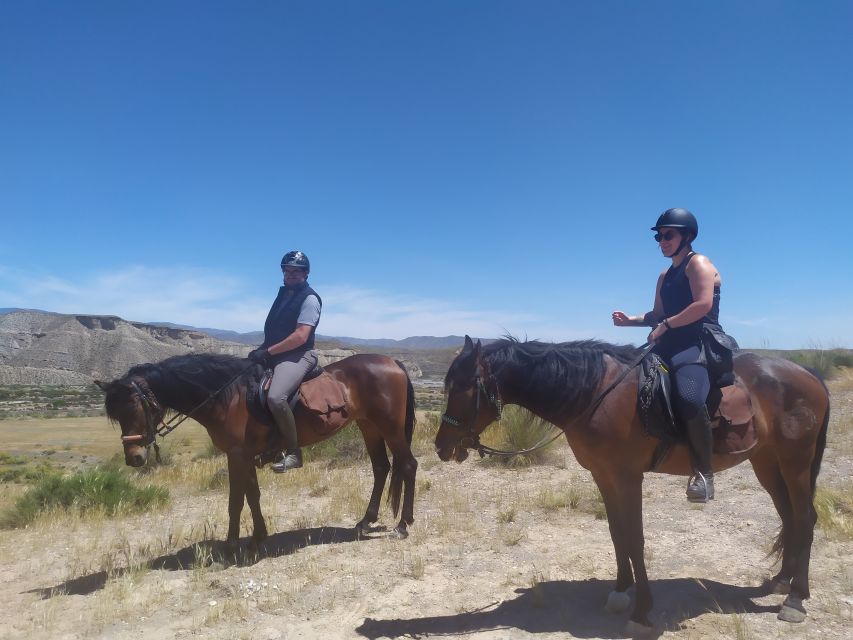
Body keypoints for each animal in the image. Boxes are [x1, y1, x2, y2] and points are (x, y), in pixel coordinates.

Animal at [98, 350, 418, 556]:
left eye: (133, 407)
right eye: (115, 415)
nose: (133, 457)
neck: (227, 397)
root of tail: (393, 362)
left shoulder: (236, 455)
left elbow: (235, 501)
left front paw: (230, 547)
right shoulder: (243, 456)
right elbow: (252, 496)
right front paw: (256, 539)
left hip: (389, 427)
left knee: (408, 465)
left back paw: (403, 525)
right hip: (369, 425)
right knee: (381, 467)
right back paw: (365, 522)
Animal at [436, 338, 828, 632]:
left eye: (462, 387)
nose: (442, 446)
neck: (594, 393)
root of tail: (808, 374)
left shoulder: (627, 477)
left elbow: (635, 538)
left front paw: (642, 611)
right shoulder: (603, 475)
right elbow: (617, 534)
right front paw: (621, 591)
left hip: (795, 462)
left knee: (805, 518)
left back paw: (795, 599)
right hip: (767, 462)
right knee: (789, 517)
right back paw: (781, 581)